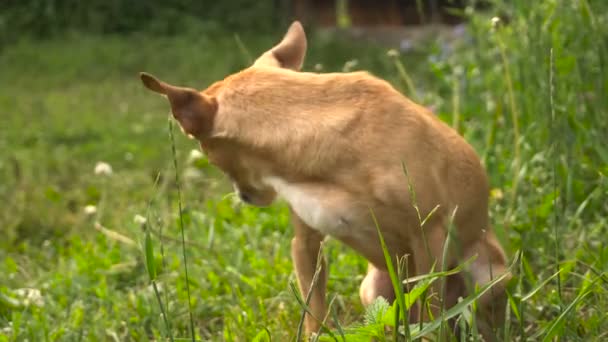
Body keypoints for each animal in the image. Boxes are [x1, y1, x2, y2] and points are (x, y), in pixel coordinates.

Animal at [140, 21, 510, 340]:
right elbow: (313, 308)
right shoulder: (306, 242)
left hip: (486, 276)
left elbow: (431, 310)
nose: (243, 196)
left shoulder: (430, 239)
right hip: (373, 287)